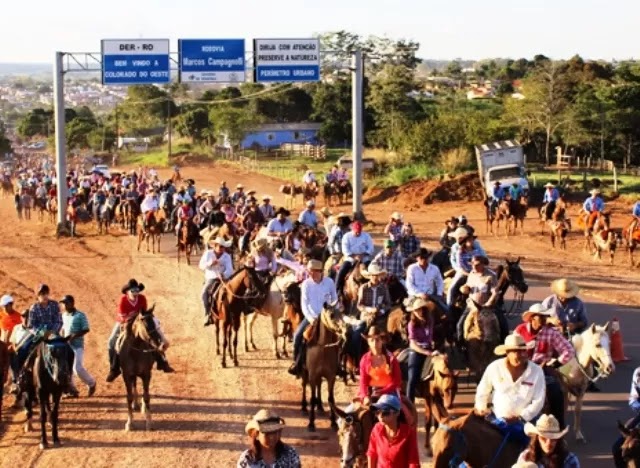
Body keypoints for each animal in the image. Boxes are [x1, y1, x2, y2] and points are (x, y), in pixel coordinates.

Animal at [117, 304, 162, 432]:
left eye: (155, 321)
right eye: (145, 323)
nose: (158, 341)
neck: (135, 351)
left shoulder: (146, 374)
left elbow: (146, 396)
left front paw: (149, 422)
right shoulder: (126, 375)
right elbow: (129, 397)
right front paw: (129, 423)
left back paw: (142, 407)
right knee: (134, 385)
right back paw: (135, 404)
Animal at [302, 304, 348, 432]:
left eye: (341, 313)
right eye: (331, 315)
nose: (345, 331)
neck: (322, 349)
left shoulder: (330, 377)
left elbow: (331, 399)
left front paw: (333, 422)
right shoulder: (312, 376)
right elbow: (312, 398)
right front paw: (311, 423)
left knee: (319, 385)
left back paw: (320, 407)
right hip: (305, 372)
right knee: (304, 385)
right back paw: (304, 406)